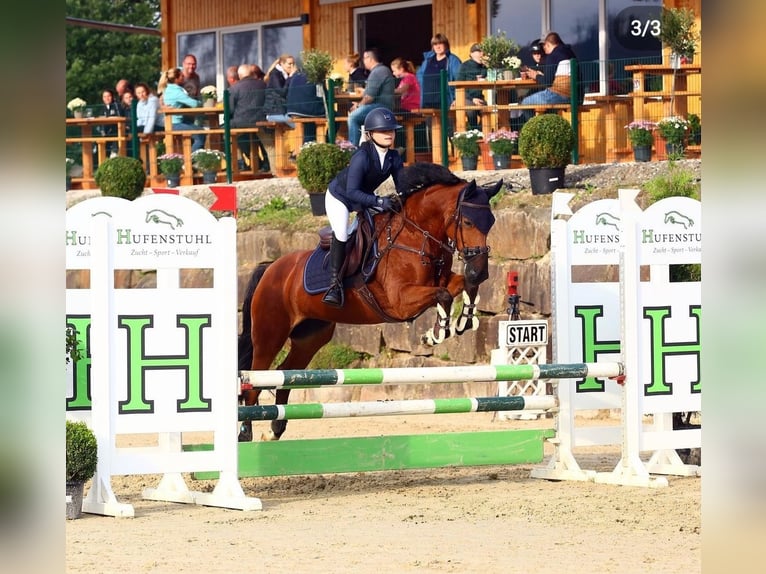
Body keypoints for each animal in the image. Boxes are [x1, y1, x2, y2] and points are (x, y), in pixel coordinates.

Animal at [240, 164, 504, 444]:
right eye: (467, 222)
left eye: (491, 222)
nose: (481, 271)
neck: (416, 236)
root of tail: (270, 269)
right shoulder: (400, 301)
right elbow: (443, 295)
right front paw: (436, 333)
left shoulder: (441, 282)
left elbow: (462, 286)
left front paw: (463, 321)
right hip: (270, 335)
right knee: (254, 382)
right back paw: (246, 432)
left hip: (310, 337)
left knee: (287, 373)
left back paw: (274, 429)